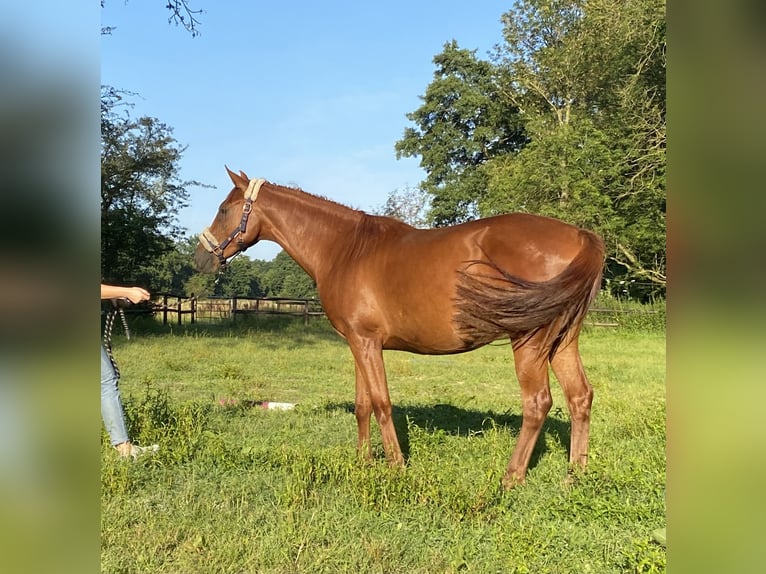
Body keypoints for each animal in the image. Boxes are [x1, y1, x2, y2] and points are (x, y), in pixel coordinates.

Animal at [196, 169, 608, 488]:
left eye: (224, 209)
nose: (200, 257)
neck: (345, 249)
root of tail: (579, 236)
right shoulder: (358, 343)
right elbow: (362, 405)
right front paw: (363, 460)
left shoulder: (366, 343)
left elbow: (381, 403)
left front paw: (395, 464)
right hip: (562, 342)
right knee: (580, 397)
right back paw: (575, 474)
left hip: (530, 342)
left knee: (537, 403)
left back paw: (512, 477)